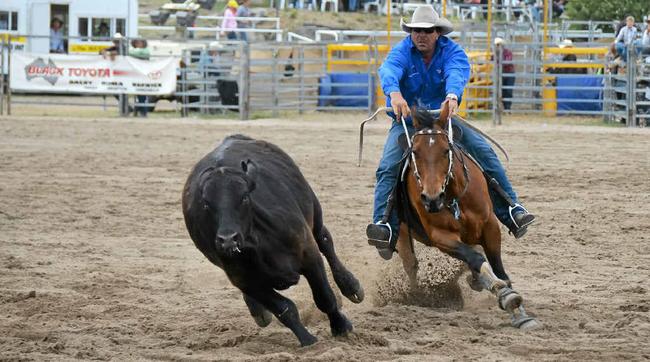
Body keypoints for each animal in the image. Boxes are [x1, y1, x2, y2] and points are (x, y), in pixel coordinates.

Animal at [390, 104, 536, 328]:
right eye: (415, 152)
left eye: (445, 150)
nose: (431, 199)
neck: (454, 196)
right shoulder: (441, 236)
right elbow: (475, 258)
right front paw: (503, 294)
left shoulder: (490, 226)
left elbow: (497, 266)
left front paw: (517, 308)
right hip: (403, 234)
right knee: (411, 265)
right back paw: (419, 297)